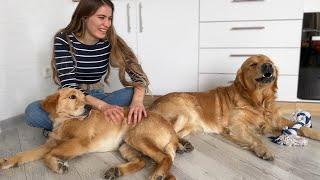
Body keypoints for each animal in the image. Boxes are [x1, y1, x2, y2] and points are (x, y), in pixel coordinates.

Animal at [0, 87, 190, 179]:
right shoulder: (50, 144)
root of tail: (171, 130)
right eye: (72, 97)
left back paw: (158, 173)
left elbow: (49, 155)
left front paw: (58, 164)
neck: (65, 121)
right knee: (141, 162)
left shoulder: (80, 142)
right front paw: (6, 161)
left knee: (164, 158)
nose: (89, 107)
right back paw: (117, 171)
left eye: (84, 98)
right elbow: (24, 154)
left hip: (136, 137)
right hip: (125, 145)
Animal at [150, 54, 320, 160]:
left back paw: (184, 144)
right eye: (253, 64)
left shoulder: (275, 121)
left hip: (191, 125)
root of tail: (153, 105)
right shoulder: (237, 126)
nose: (268, 66)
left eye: (270, 61)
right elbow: (255, 138)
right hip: (185, 112)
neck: (258, 101)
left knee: (174, 133)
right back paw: (179, 146)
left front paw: (315, 133)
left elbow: (301, 127)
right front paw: (264, 149)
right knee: (169, 132)